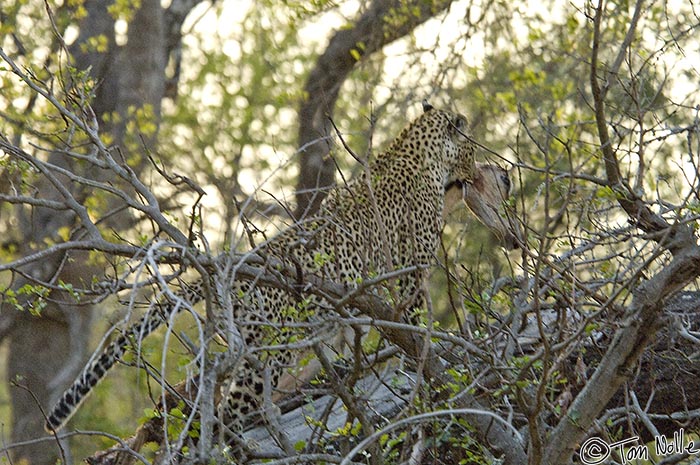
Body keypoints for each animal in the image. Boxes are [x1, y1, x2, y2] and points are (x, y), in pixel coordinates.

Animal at [42, 100, 516, 436]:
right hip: (268, 352)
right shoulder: (411, 270)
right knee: (229, 410)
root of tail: (233, 268)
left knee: (201, 388)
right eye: (472, 147)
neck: (415, 151)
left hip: (239, 346)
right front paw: (428, 360)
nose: (491, 172)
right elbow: (417, 327)